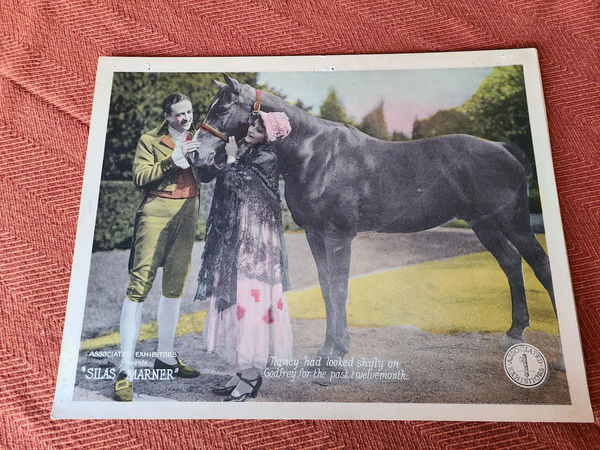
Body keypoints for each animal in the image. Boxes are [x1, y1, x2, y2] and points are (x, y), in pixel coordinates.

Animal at [193, 73, 564, 370]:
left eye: (221, 110)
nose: (198, 155)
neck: (315, 154)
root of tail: (504, 149)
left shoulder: (339, 236)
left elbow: (339, 289)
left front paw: (335, 354)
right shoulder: (315, 235)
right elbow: (327, 289)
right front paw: (328, 350)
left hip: (513, 222)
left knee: (542, 266)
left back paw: (559, 358)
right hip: (484, 225)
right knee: (511, 263)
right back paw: (513, 333)